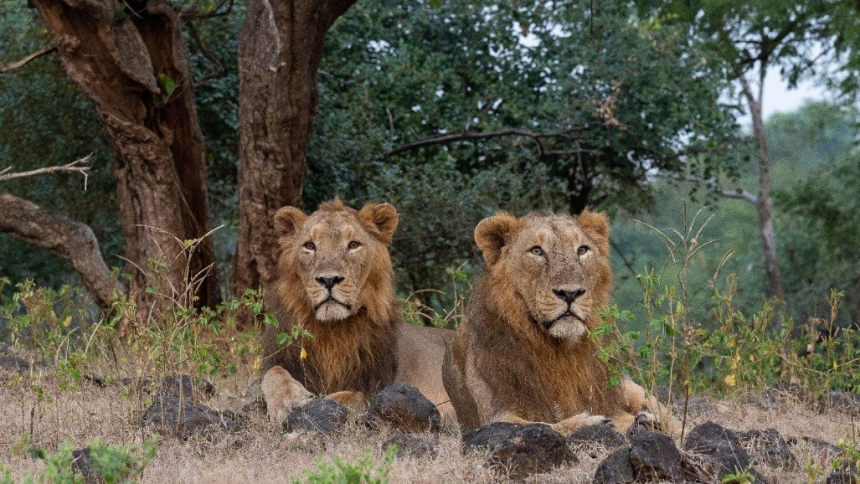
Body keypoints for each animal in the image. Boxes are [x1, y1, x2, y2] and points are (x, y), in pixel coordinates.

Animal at [260, 199, 454, 425]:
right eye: (309, 245)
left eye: (353, 245)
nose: (328, 279)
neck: (330, 331)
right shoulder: (279, 360)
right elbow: (273, 373)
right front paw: (289, 400)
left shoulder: (375, 387)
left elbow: (347, 398)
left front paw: (315, 405)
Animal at [442, 210, 672, 435]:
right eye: (536, 251)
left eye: (582, 250)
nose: (570, 293)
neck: (559, 350)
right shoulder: (495, 414)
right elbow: (543, 425)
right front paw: (591, 422)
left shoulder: (608, 402)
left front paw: (642, 422)